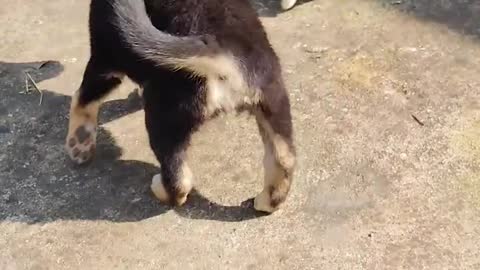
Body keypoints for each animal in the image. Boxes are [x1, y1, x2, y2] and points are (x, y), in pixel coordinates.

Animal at [64, 0, 296, 213]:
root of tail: (226, 51)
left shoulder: (106, 57)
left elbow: (82, 100)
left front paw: (79, 144)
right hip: (274, 105)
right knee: (284, 159)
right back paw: (267, 201)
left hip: (165, 117)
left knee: (179, 182)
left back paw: (159, 188)